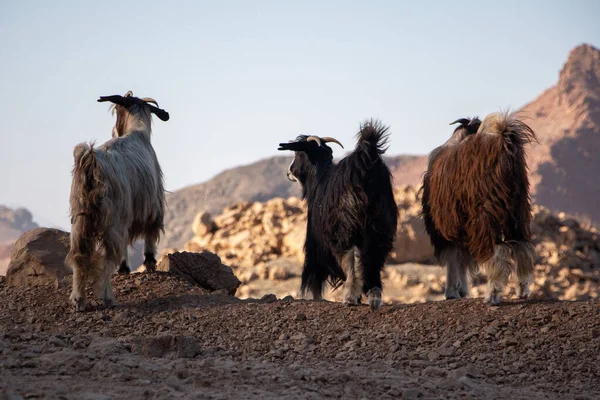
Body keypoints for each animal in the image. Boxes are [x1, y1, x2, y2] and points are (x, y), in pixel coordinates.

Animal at [66, 91, 169, 312]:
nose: (113, 131)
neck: (137, 131)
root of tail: (91, 162)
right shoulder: (153, 206)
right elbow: (150, 235)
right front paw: (148, 263)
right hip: (114, 219)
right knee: (108, 256)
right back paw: (107, 297)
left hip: (79, 219)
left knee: (79, 255)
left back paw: (78, 300)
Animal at [276, 119, 398, 310]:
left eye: (298, 153)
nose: (289, 172)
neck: (319, 177)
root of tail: (365, 163)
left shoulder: (315, 241)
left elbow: (317, 271)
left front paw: (317, 296)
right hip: (379, 226)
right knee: (373, 258)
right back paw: (374, 297)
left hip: (345, 226)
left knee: (349, 257)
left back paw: (349, 297)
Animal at [420, 111, 536, 304]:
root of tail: (503, 143)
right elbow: (461, 258)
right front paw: (461, 290)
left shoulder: (446, 225)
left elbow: (453, 257)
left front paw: (452, 292)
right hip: (518, 210)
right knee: (522, 247)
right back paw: (522, 290)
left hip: (485, 213)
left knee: (497, 251)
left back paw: (492, 294)